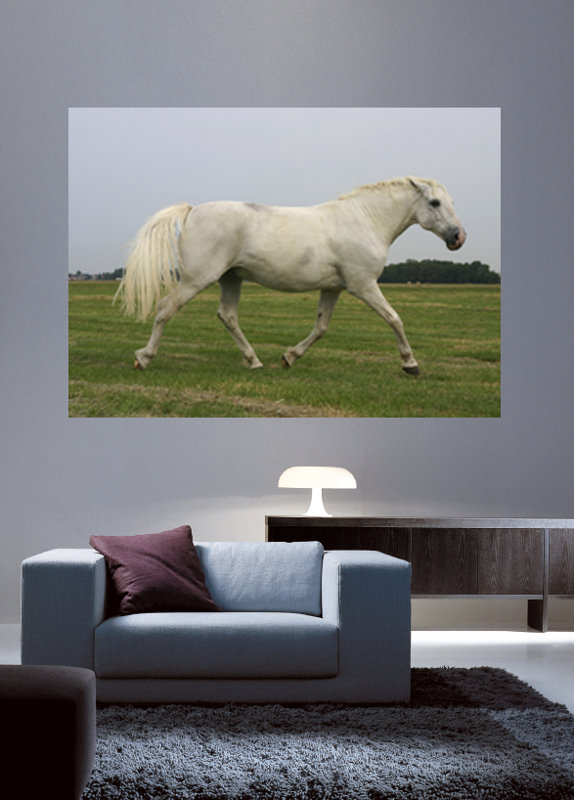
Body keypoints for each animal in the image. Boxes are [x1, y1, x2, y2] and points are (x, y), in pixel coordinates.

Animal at [115, 176, 466, 375]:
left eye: (451, 201)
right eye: (435, 202)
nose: (458, 237)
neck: (365, 220)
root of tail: (193, 210)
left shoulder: (333, 288)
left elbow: (321, 327)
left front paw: (289, 357)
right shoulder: (364, 285)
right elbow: (394, 319)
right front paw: (411, 365)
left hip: (231, 278)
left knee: (227, 316)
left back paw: (254, 361)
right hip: (196, 279)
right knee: (165, 309)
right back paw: (144, 359)